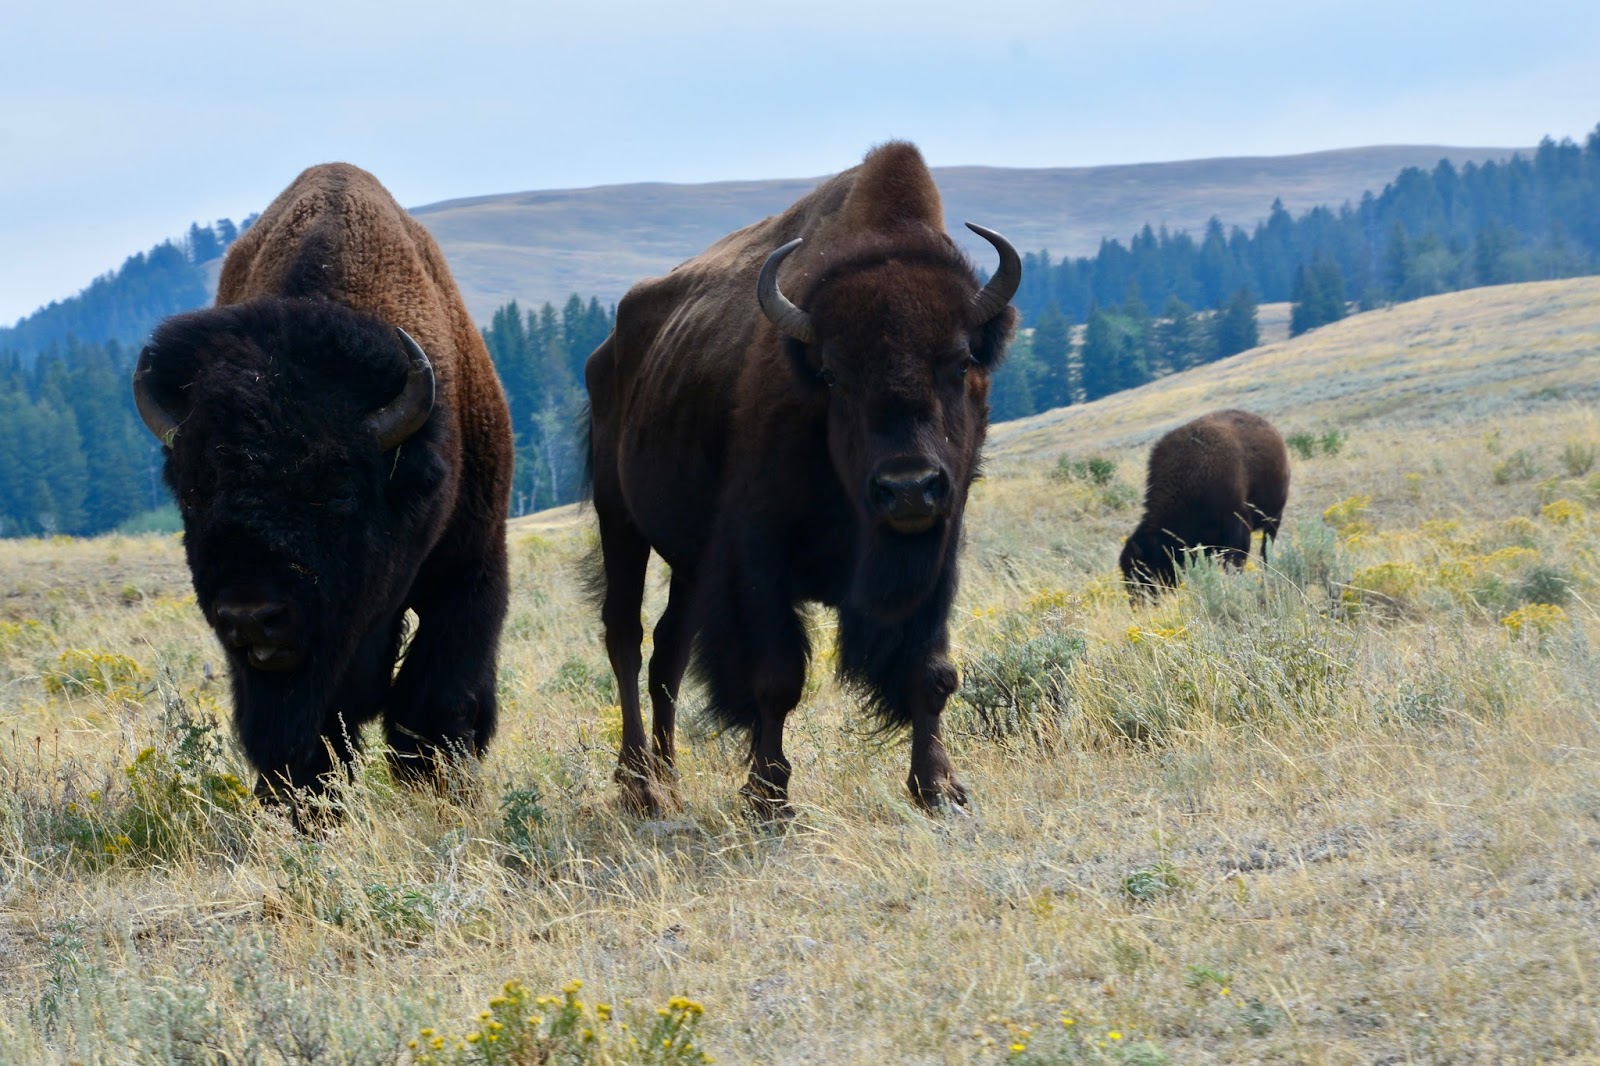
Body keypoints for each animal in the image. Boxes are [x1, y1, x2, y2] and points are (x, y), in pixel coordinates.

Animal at [132, 163, 513, 809]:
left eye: (336, 493)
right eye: (193, 496)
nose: (251, 616)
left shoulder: (470, 564)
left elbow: (438, 696)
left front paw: (438, 786)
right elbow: (301, 730)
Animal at [585, 141, 1020, 815]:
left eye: (959, 361)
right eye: (835, 375)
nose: (907, 488)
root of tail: (609, 348)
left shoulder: (937, 549)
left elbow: (930, 669)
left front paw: (939, 787)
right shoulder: (758, 554)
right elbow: (776, 678)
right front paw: (767, 798)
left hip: (688, 562)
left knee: (668, 652)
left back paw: (671, 780)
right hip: (620, 520)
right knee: (626, 638)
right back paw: (641, 787)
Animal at [1119, 409, 1290, 597]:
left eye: (1143, 569)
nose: (1136, 600)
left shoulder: (1236, 528)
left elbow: (1234, 563)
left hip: (1274, 518)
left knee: (1266, 550)